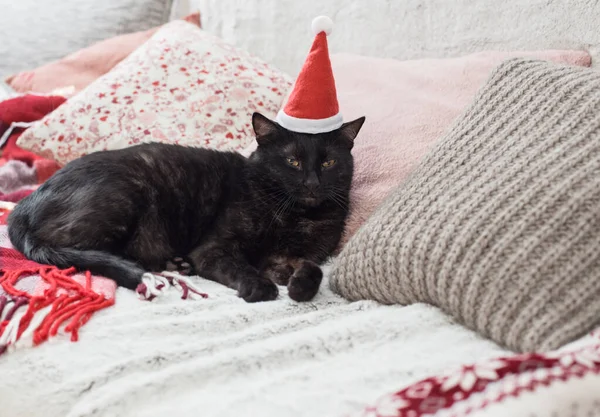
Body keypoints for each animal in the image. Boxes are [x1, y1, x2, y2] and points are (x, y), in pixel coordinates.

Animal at [8, 113, 366, 302]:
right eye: (293, 161)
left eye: (329, 162)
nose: (312, 183)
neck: (297, 215)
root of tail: (22, 206)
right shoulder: (214, 248)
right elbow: (239, 266)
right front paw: (259, 288)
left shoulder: (289, 258)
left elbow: (313, 267)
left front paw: (301, 286)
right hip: (126, 194)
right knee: (75, 253)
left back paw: (175, 264)